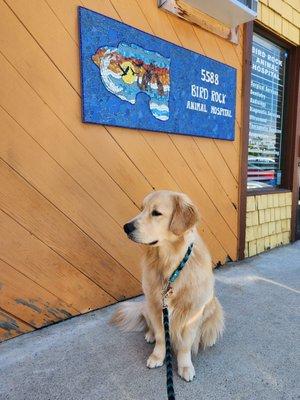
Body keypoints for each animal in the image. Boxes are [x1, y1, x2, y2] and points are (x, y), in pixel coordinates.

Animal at [112, 191, 223, 382]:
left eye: (156, 213)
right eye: (142, 209)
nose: (126, 227)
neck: (170, 265)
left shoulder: (192, 313)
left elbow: (185, 344)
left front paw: (185, 366)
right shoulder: (156, 306)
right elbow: (160, 337)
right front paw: (157, 356)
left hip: (212, 306)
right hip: (147, 306)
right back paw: (149, 335)